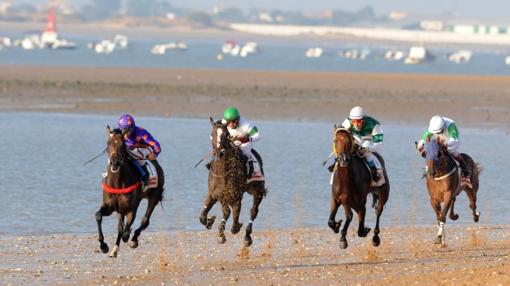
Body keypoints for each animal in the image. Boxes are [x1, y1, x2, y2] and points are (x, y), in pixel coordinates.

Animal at [94, 126, 164, 258]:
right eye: (108, 143)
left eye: (123, 145)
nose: (115, 163)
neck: (118, 183)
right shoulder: (110, 206)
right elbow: (99, 216)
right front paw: (103, 246)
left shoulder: (131, 208)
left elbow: (126, 231)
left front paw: (129, 238)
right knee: (120, 226)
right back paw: (114, 249)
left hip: (154, 197)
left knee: (145, 220)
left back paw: (134, 240)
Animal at [199, 117, 266, 247]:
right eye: (212, 134)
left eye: (226, 135)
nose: (219, 152)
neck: (222, 172)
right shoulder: (215, 194)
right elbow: (203, 216)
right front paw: (211, 221)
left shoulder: (235, 196)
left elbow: (234, 217)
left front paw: (227, 231)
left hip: (258, 190)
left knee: (253, 211)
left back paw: (247, 237)